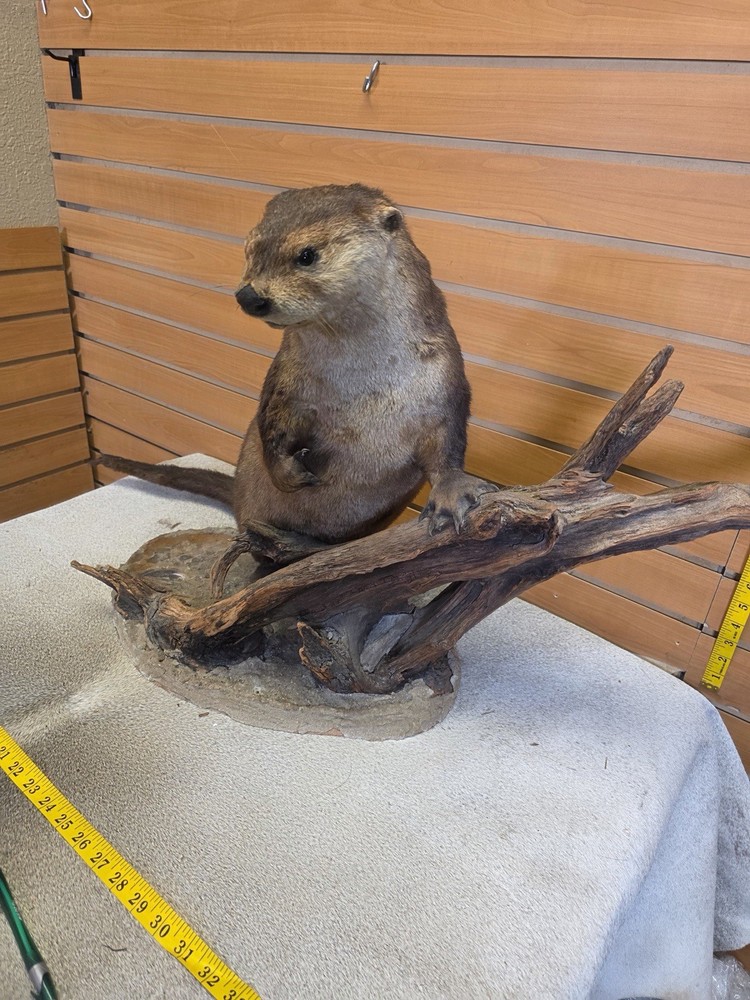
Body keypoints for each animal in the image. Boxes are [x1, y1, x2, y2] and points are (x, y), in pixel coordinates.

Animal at [102, 183, 497, 572]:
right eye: (248, 248)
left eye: (307, 255)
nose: (249, 296)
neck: (366, 385)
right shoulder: (285, 381)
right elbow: (271, 427)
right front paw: (289, 473)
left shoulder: (447, 380)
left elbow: (448, 446)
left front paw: (451, 495)